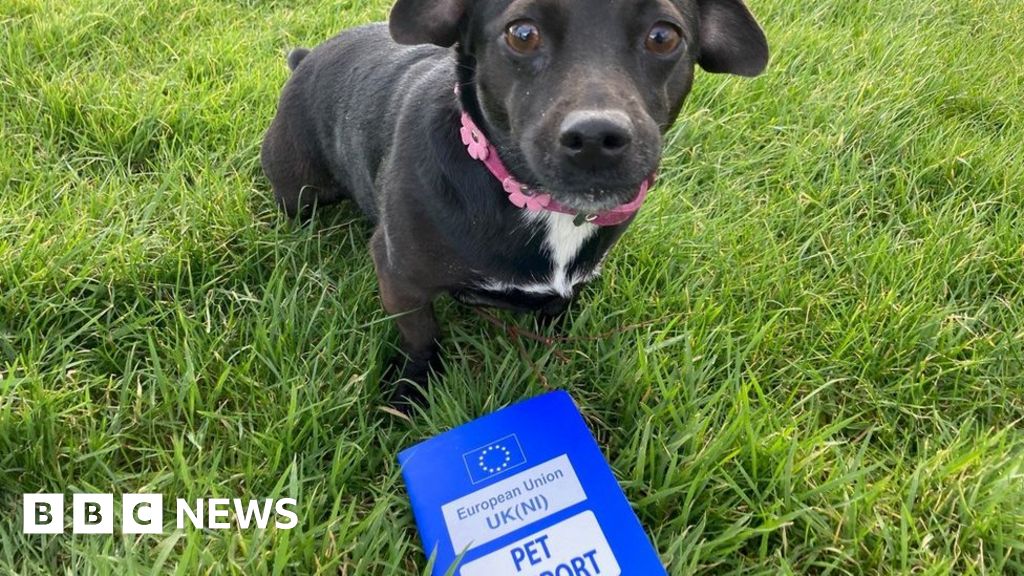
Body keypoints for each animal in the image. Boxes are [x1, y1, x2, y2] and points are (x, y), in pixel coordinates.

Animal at [264, 0, 770, 401]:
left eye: (663, 36)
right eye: (522, 34)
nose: (596, 138)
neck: (538, 202)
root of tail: (306, 58)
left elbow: (557, 309)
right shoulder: (398, 279)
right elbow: (422, 336)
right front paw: (412, 392)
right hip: (299, 192)